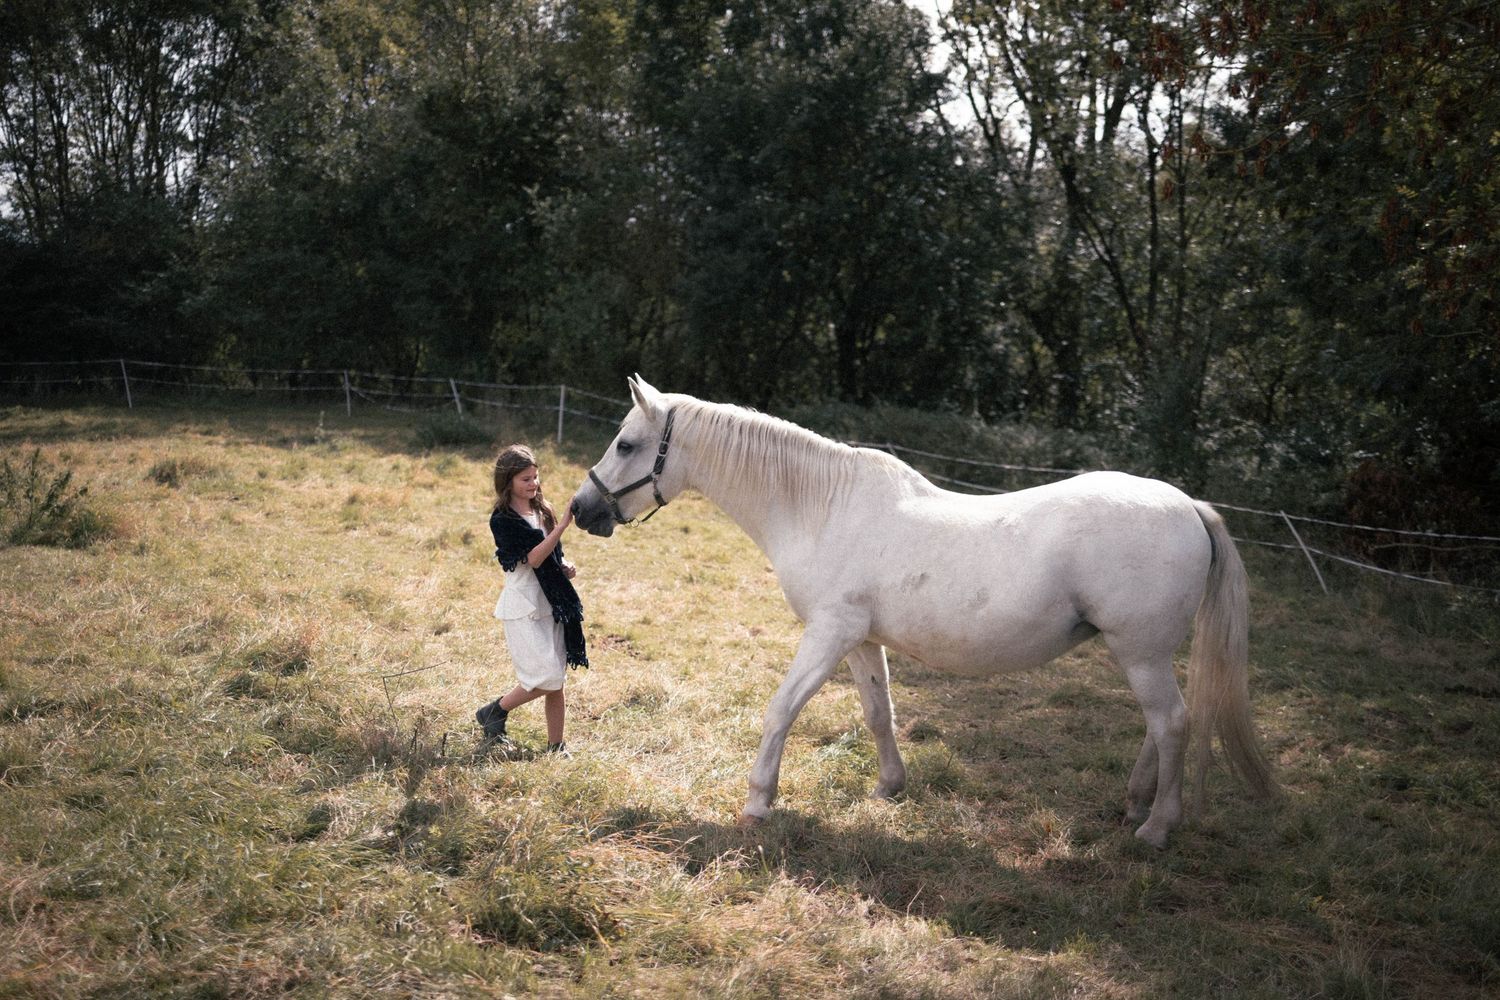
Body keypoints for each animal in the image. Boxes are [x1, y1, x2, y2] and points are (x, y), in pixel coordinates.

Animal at [572, 376, 1277, 847]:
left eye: (627, 444)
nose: (581, 509)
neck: (821, 507)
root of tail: (1189, 507)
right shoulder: (859, 639)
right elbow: (878, 712)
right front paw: (890, 786)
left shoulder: (827, 634)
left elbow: (780, 711)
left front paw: (758, 803)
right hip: (1139, 652)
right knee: (1161, 726)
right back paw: (1135, 805)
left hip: (1141, 651)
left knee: (1174, 724)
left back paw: (1156, 827)